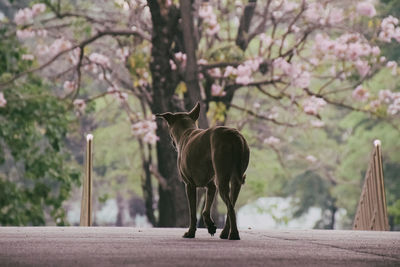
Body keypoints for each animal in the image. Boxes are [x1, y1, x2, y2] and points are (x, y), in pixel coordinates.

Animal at [157, 103, 248, 241]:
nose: (172, 143)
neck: (186, 132)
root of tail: (234, 135)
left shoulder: (189, 185)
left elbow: (193, 213)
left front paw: (190, 233)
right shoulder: (211, 186)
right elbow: (205, 210)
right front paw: (210, 226)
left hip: (221, 180)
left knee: (230, 208)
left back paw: (233, 234)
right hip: (234, 181)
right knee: (231, 204)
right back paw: (225, 233)